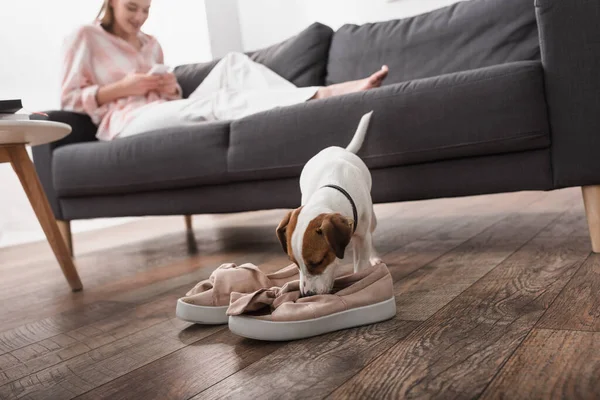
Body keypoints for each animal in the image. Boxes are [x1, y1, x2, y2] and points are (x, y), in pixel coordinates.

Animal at [276, 111, 380, 296]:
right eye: (295, 263)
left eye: (318, 262)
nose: (307, 295)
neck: (329, 190)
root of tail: (338, 149)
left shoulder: (362, 237)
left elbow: (361, 265)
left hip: (371, 222)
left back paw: (374, 256)